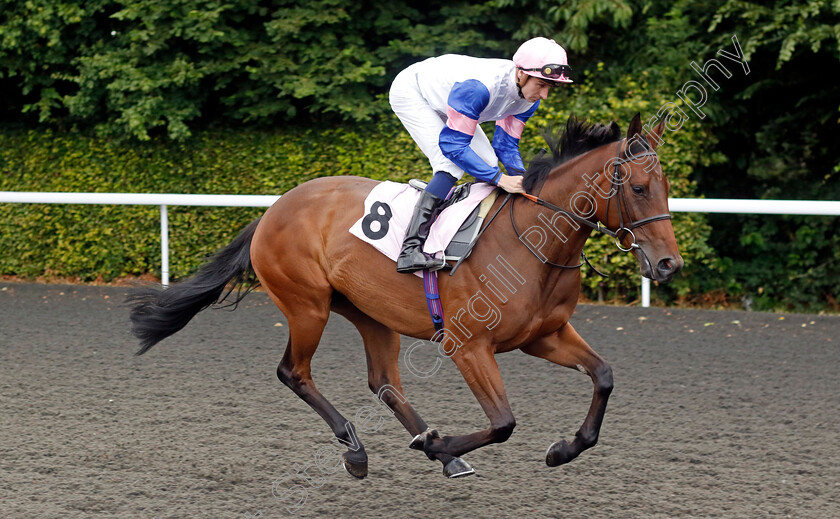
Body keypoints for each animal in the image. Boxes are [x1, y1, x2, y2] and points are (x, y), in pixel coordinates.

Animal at [130, 112, 684, 480]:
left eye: (665, 186)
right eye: (638, 188)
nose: (668, 264)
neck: (533, 242)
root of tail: (273, 209)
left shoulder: (543, 335)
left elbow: (604, 376)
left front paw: (564, 449)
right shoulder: (468, 345)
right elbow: (503, 422)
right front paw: (442, 440)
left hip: (370, 313)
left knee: (384, 383)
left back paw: (441, 453)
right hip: (307, 306)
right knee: (295, 372)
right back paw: (365, 451)